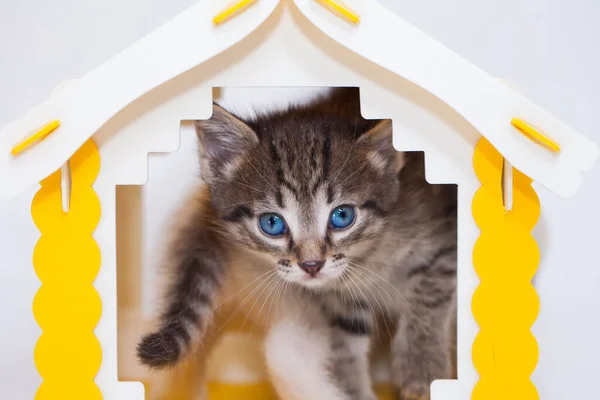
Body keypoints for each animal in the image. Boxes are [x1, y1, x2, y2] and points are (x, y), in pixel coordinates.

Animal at [138, 88, 458, 400]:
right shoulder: (339, 299)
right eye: (272, 223)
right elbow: (345, 342)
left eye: (342, 216)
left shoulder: (444, 234)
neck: (370, 256)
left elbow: (429, 294)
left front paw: (421, 367)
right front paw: (348, 388)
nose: (312, 265)